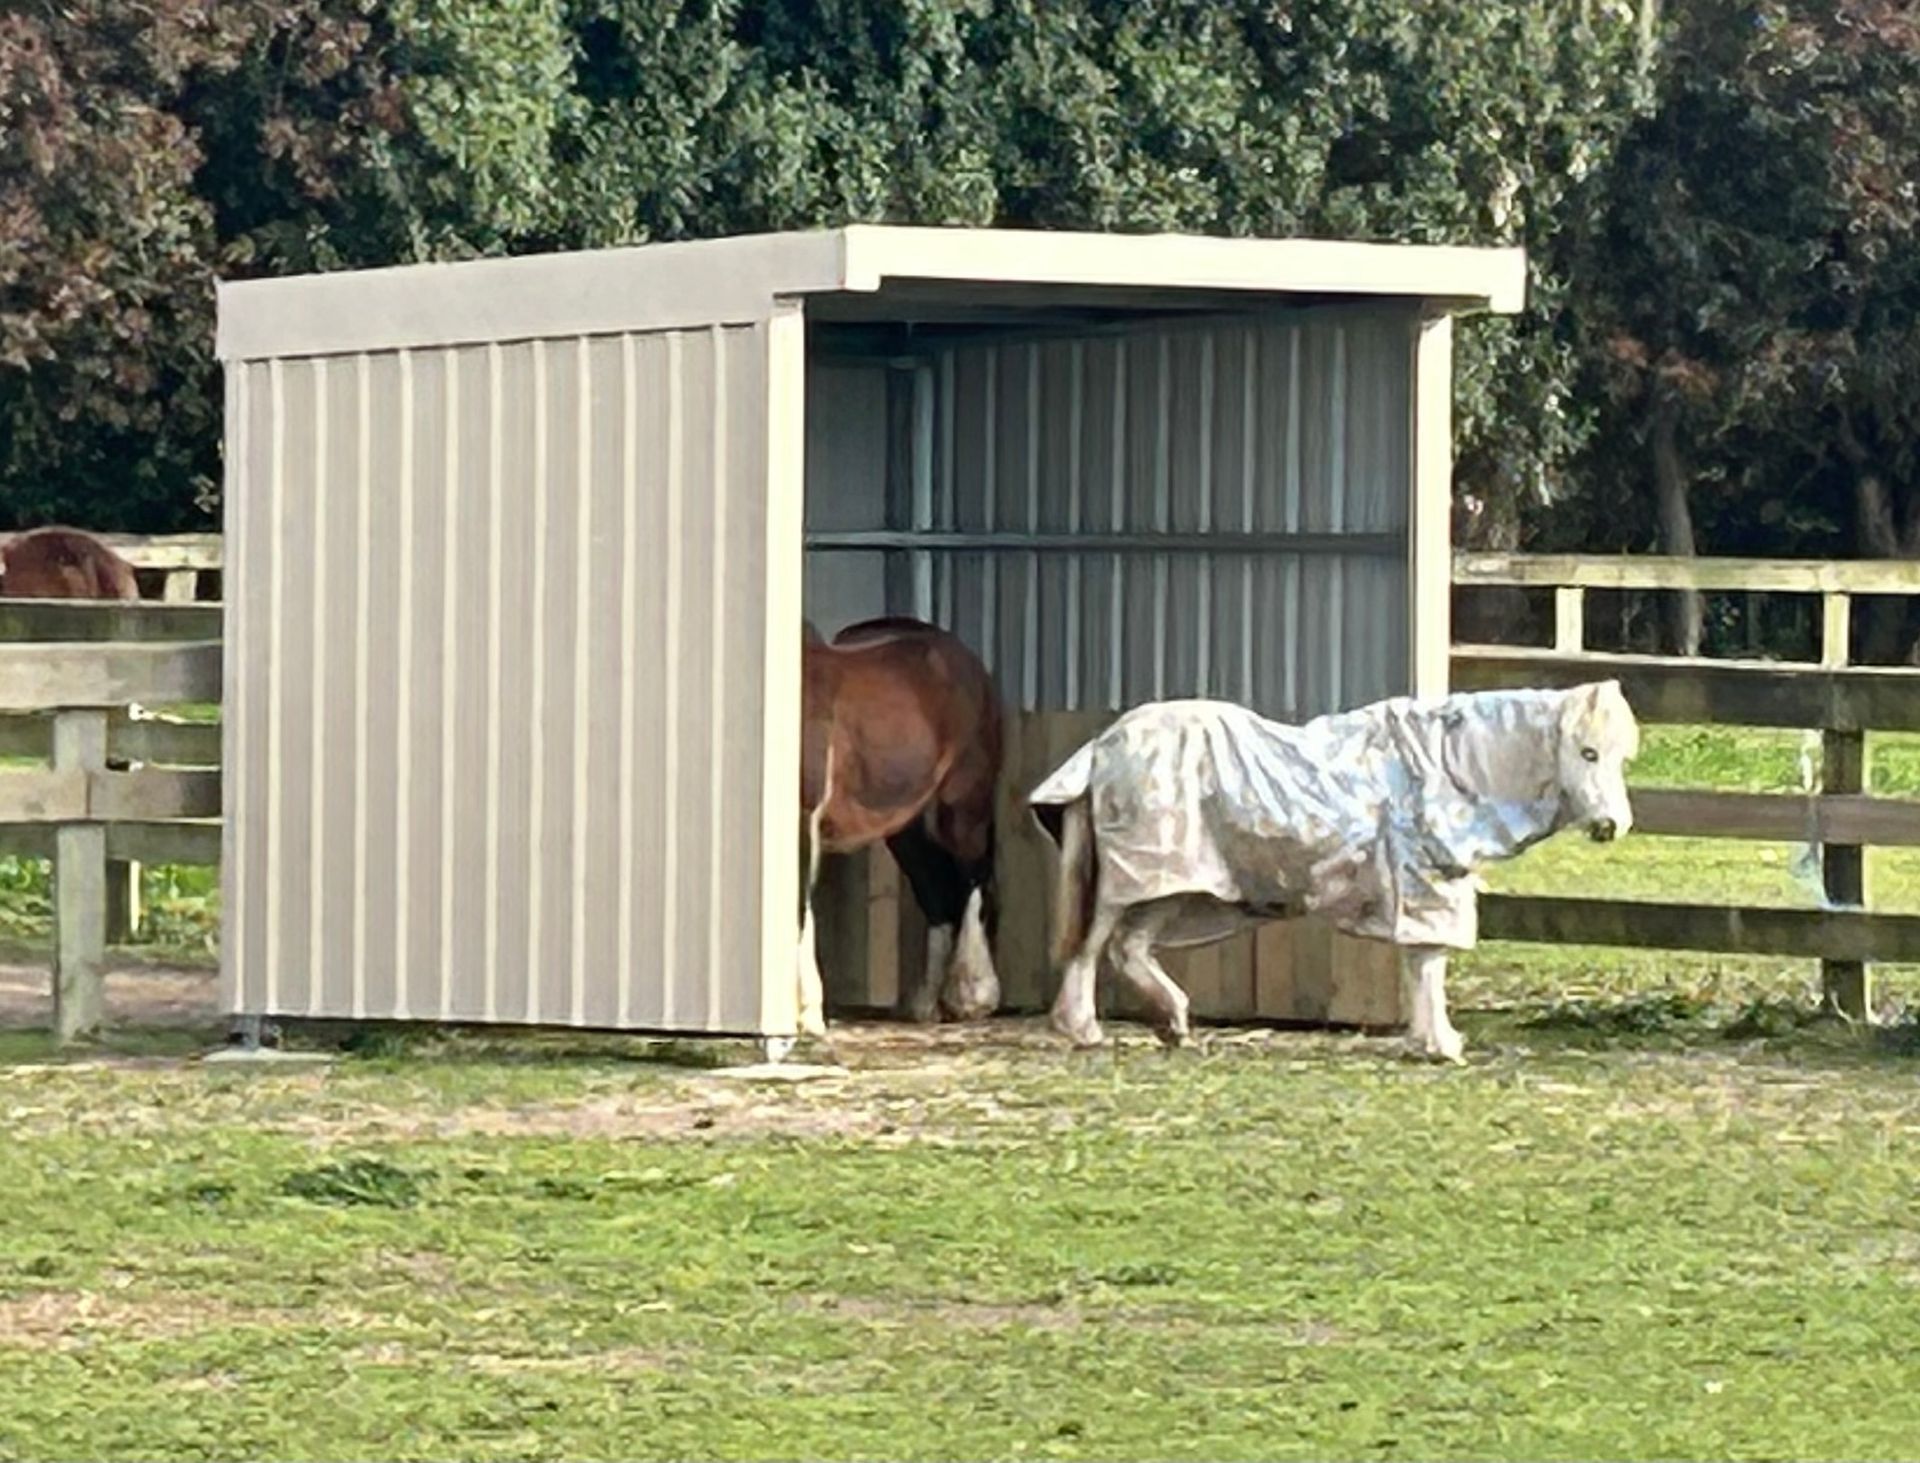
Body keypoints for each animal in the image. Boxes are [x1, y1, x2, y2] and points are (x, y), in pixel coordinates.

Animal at [796, 616, 1003, 1038]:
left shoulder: (804, 818)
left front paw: (806, 1013)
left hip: (963, 807)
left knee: (973, 877)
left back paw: (971, 997)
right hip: (906, 826)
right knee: (934, 888)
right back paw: (927, 1003)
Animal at [1030, 681, 1639, 1063]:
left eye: (1620, 757)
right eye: (1587, 752)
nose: (1612, 825)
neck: (1449, 767)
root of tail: (1105, 745)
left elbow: (1422, 965)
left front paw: (1429, 1039)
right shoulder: (1426, 883)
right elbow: (1429, 963)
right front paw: (1440, 1044)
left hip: (1170, 886)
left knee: (1128, 948)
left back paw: (1173, 1022)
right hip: (1132, 880)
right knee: (1092, 945)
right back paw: (1082, 1027)